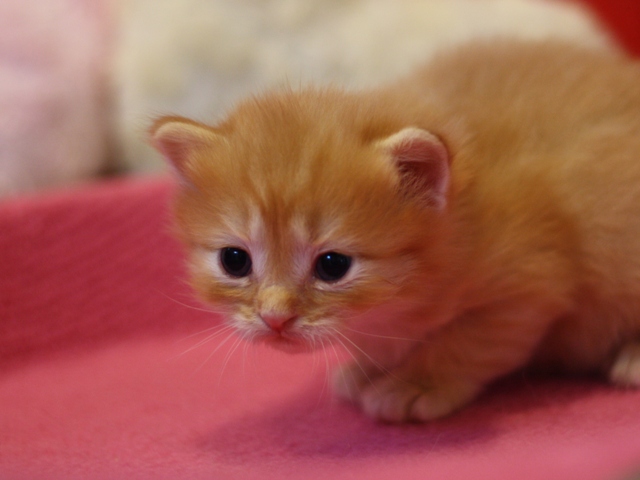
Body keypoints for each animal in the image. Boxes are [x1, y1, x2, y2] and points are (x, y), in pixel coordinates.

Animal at [151, 41, 640, 424]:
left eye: (333, 266)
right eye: (234, 261)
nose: (275, 319)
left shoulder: (529, 286)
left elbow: (468, 342)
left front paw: (415, 384)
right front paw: (367, 368)